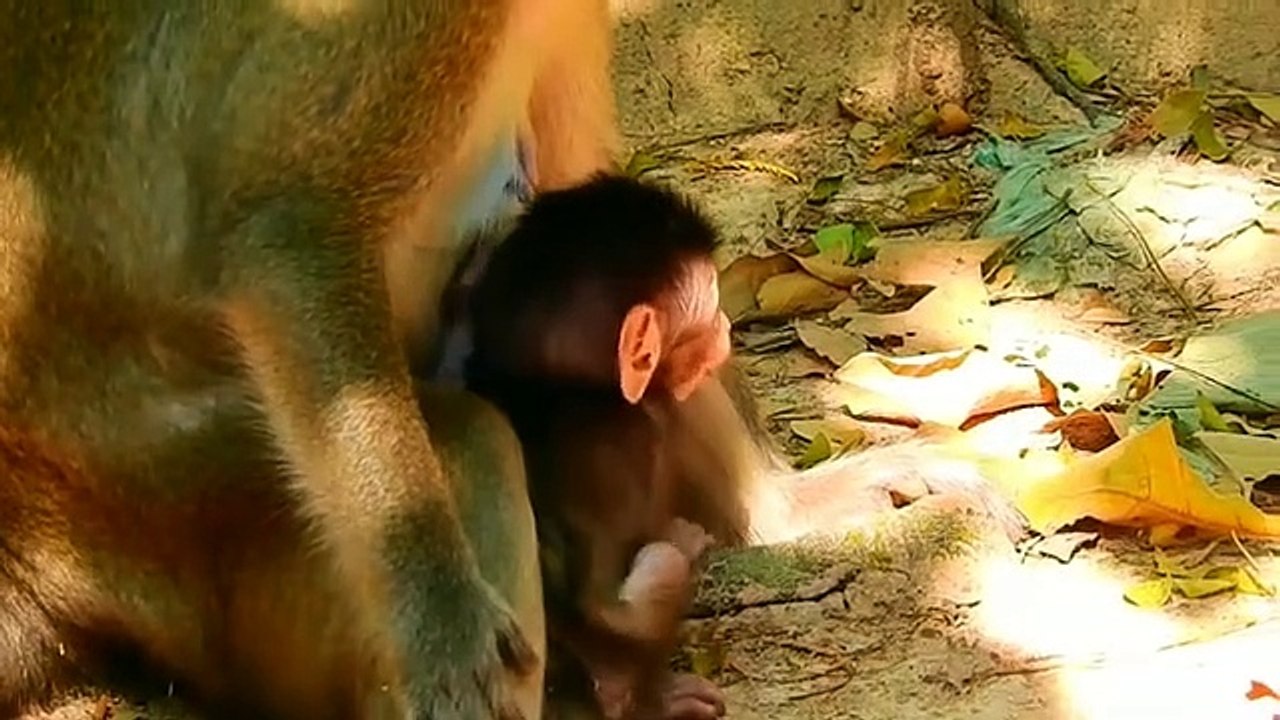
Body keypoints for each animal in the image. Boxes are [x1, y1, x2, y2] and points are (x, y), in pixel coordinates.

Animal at [462, 175, 735, 720]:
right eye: (711, 315)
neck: (554, 388)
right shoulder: (628, 436)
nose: (730, 331)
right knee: (660, 567)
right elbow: (605, 604)